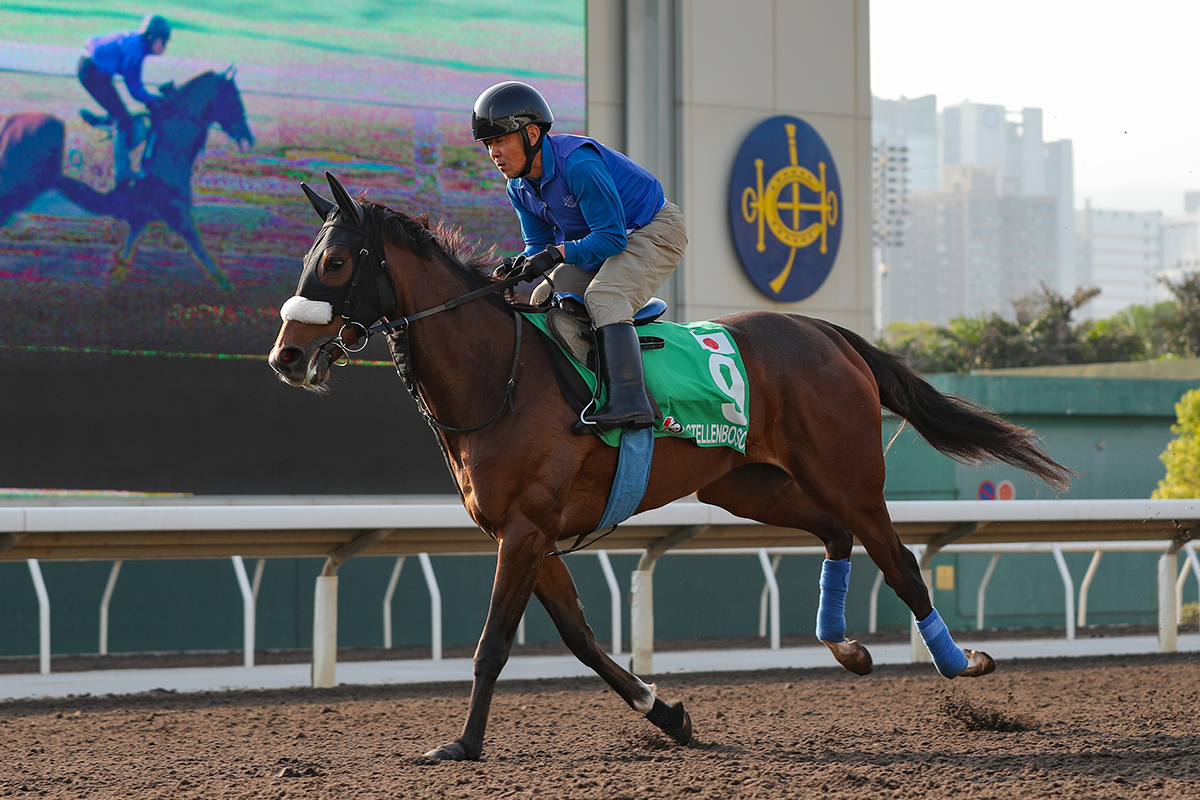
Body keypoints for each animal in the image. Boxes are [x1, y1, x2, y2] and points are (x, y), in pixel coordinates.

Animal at [0, 68, 253, 287]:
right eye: (234, 98)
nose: (248, 137)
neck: (170, 145)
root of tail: (12, 122)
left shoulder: (140, 216)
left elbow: (123, 260)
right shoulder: (175, 212)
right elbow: (204, 255)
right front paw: (228, 286)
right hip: (19, 189)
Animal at [270, 172, 1070, 762]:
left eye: (335, 263)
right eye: (306, 260)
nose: (287, 356)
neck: (499, 373)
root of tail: (830, 333)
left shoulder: (524, 529)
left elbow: (493, 644)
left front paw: (463, 745)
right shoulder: (529, 535)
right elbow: (581, 638)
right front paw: (670, 714)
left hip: (850, 478)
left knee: (899, 561)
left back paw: (963, 664)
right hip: (749, 486)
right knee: (833, 534)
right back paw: (845, 647)